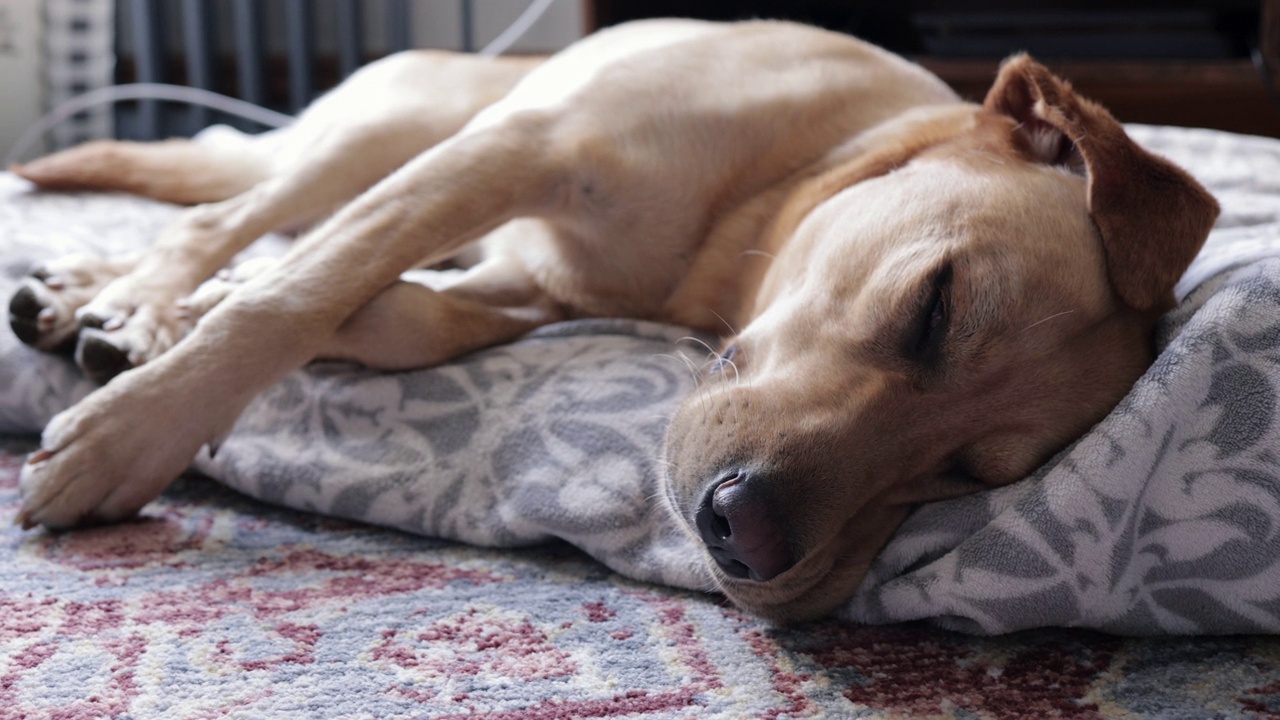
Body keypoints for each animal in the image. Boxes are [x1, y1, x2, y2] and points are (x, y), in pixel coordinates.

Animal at [10, 19, 1213, 620]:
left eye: (968, 473)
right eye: (936, 306)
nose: (746, 536)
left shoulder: (533, 285)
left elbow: (396, 315)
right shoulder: (517, 153)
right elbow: (294, 291)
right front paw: (128, 438)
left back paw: (98, 299)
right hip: (385, 135)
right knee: (225, 212)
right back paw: (133, 304)